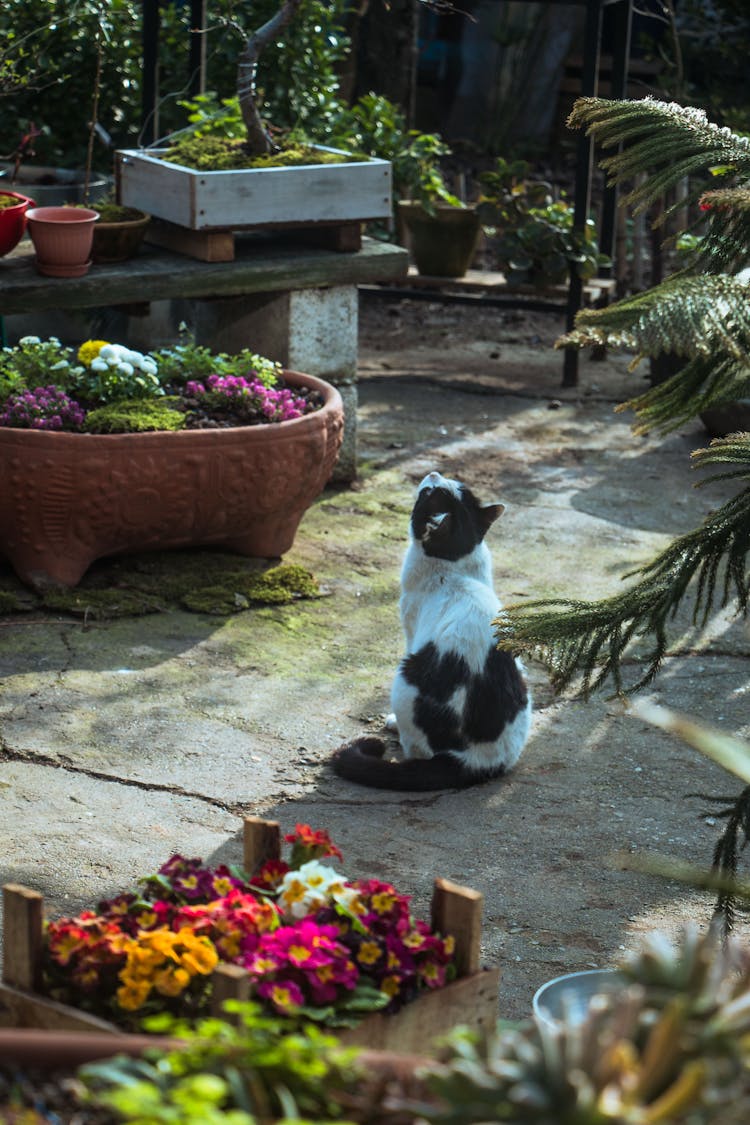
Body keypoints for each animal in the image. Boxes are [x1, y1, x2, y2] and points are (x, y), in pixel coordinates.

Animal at [330, 468, 530, 792]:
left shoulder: (410, 627)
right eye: (457, 484)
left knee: (415, 749)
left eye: (428, 494)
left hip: (404, 679)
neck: (452, 565)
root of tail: (474, 761)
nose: (434, 472)